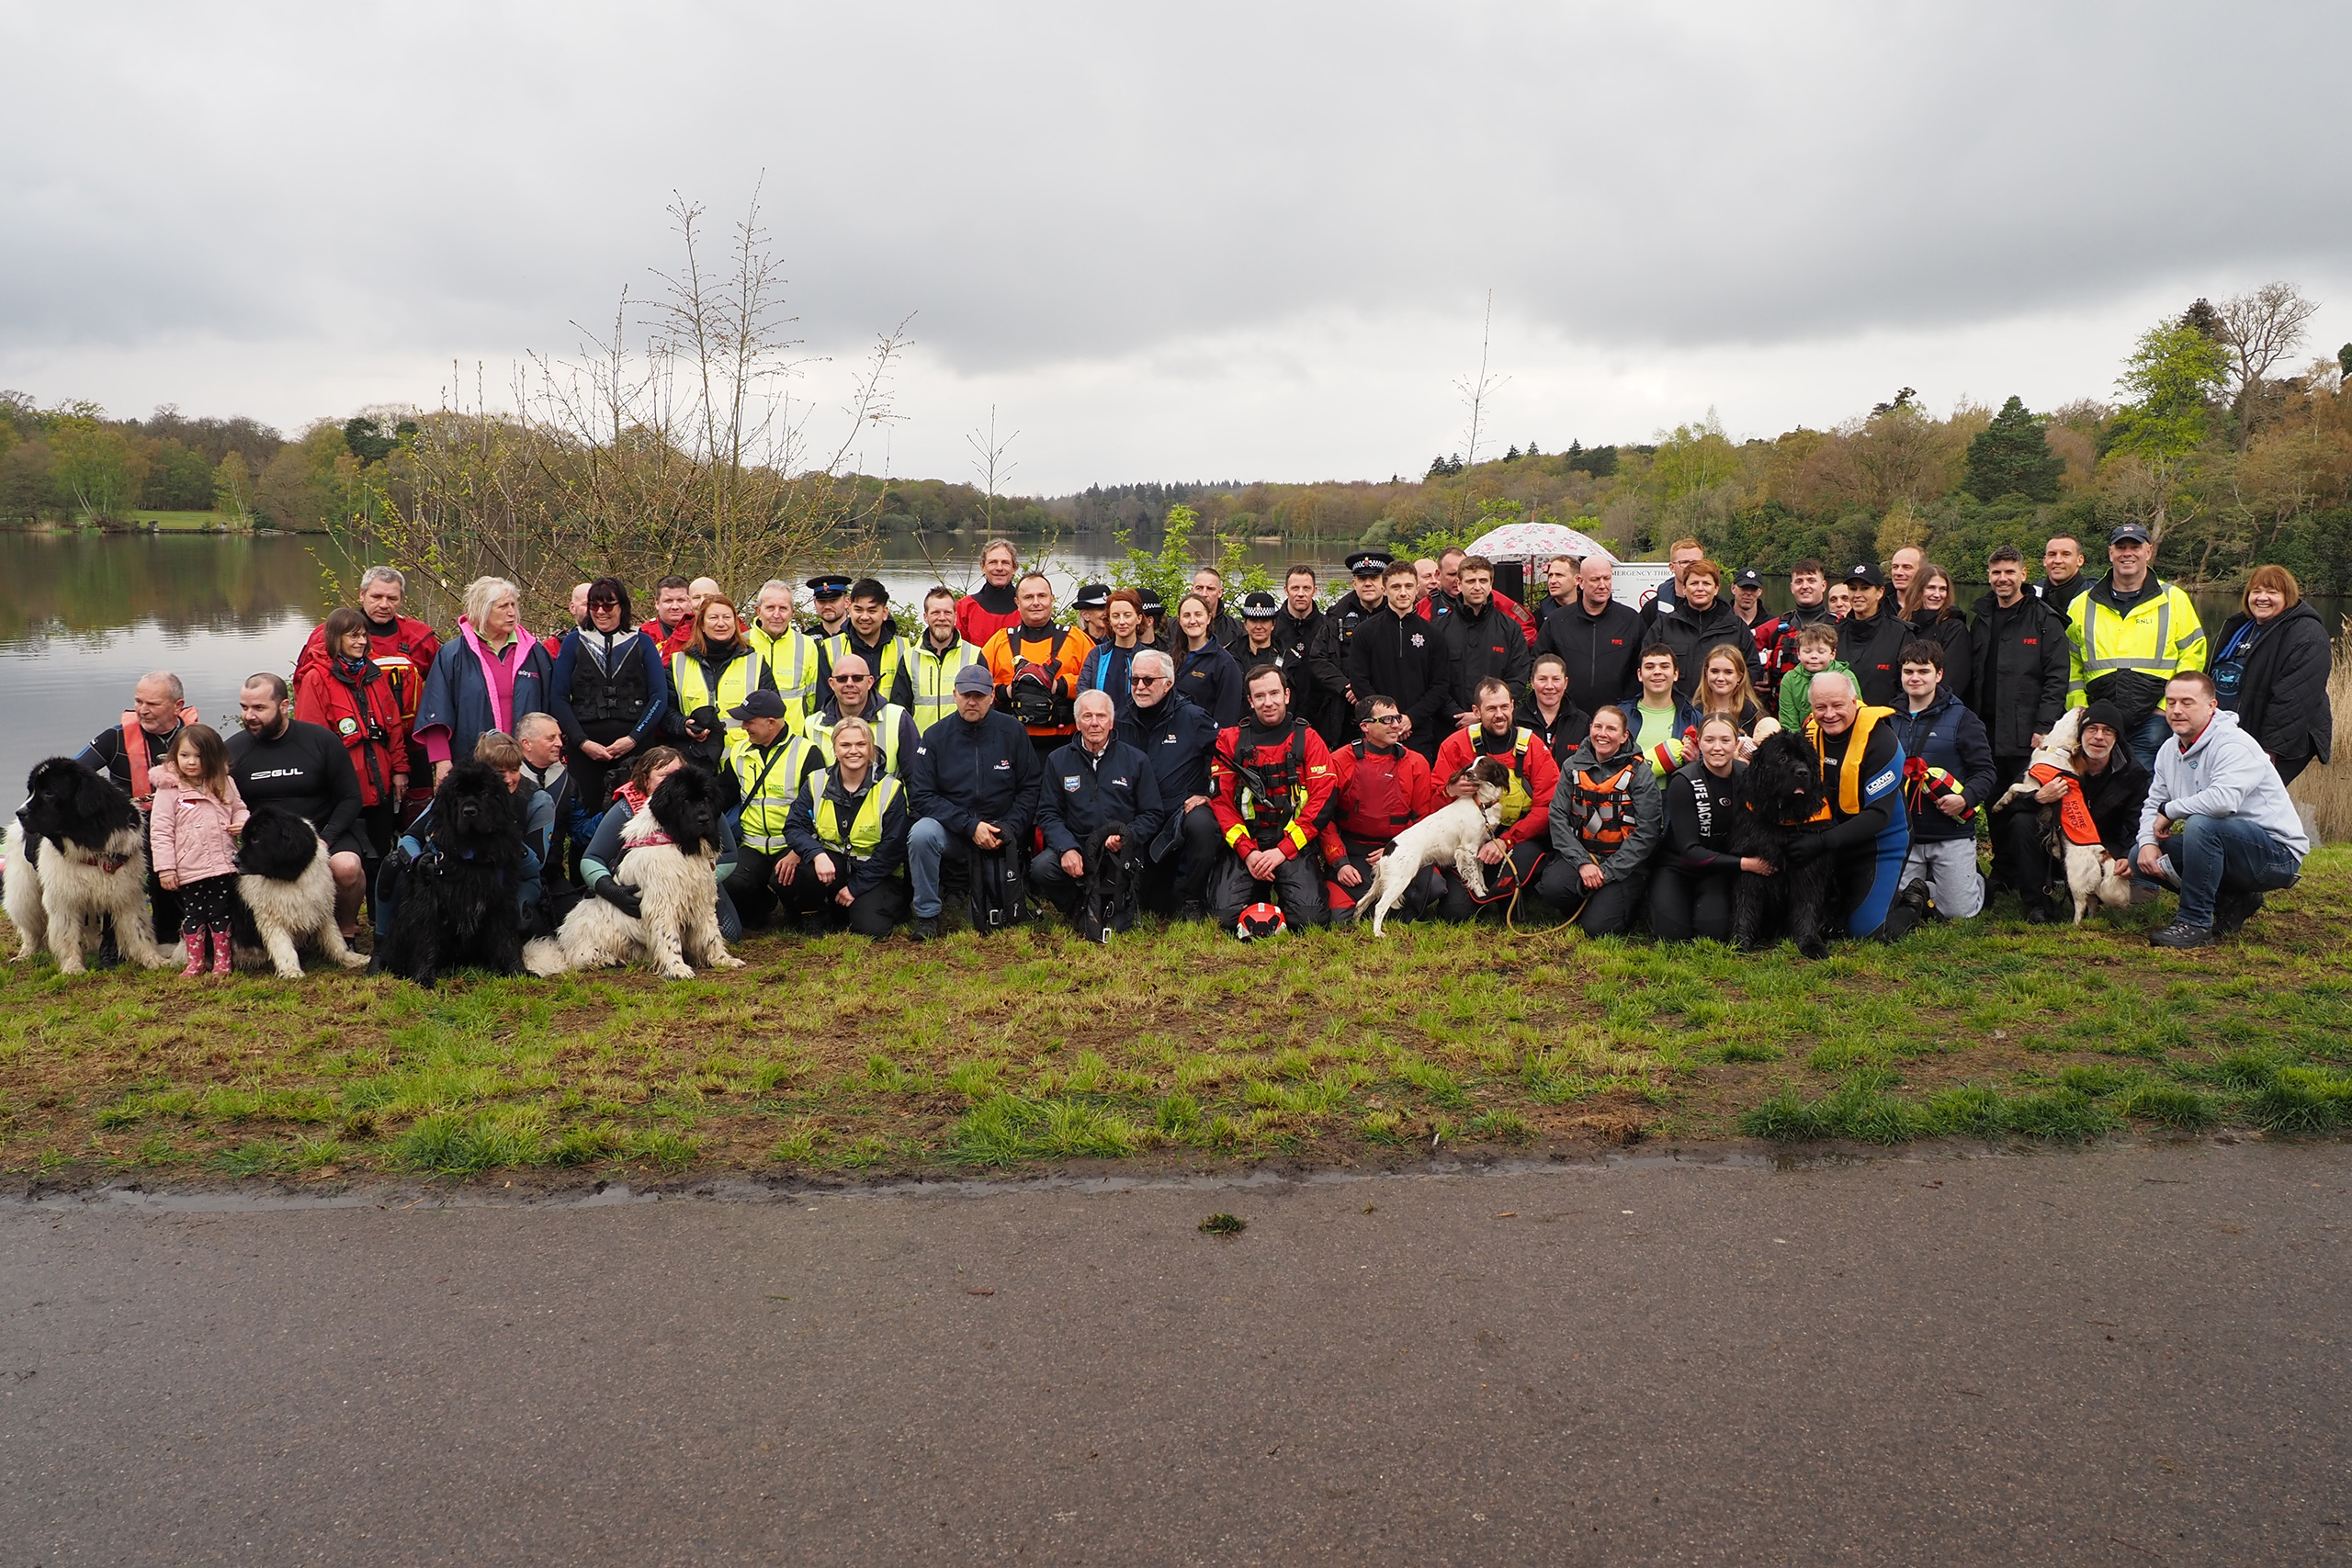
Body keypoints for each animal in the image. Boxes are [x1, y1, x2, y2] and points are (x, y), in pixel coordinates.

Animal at [3, 757, 178, 973]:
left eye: (49, 792)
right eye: (32, 791)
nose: (20, 812)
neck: (88, 837)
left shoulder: (125, 890)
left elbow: (138, 929)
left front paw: (153, 960)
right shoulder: (64, 894)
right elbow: (67, 933)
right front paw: (73, 967)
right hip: (25, 891)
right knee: (30, 926)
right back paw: (25, 954)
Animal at [229, 808, 367, 982]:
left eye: (255, 839)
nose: (234, 861)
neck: (289, 879)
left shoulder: (321, 908)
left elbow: (336, 939)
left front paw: (353, 959)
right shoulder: (270, 918)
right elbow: (283, 945)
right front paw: (291, 971)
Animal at [379, 751, 531, 987]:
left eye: (484, 792)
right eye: (458, 795)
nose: (469, 811)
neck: (473, 853)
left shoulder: (501, 899)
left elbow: (506, 938)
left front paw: (517, 971)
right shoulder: (431, 902)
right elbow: (427, 939)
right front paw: (424, 977)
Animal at [529, 761, 738, 973]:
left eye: (706, 798)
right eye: (686, 800)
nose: (704, 819)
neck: (676, 841)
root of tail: (562, 947)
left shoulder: (701, 896)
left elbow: (711, 933)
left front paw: (722, 959)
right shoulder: (663, 902)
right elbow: (669, 937)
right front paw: (677, 968)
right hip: (599, 927)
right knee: (580, 956)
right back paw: (605, 959)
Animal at [1731, 728, 1834, 964]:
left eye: (1805, 759)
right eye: (1783, 758)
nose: (1803, 772)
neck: (1783, 817)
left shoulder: (1809, 867)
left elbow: (1806, 907)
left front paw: (1811, 944)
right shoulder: (1751, 861)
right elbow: (1745, 904)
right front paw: (1740, 942)